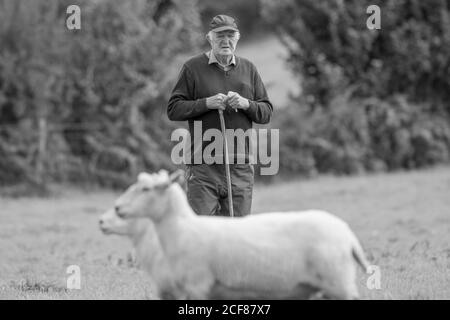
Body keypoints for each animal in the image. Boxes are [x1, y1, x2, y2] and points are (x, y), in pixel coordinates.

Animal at [115, 170, 370, 300]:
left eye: (146, 189)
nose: (117, 207)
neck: (183, 228)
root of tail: (347, 234)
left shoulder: (198, 285)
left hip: (338, 282)